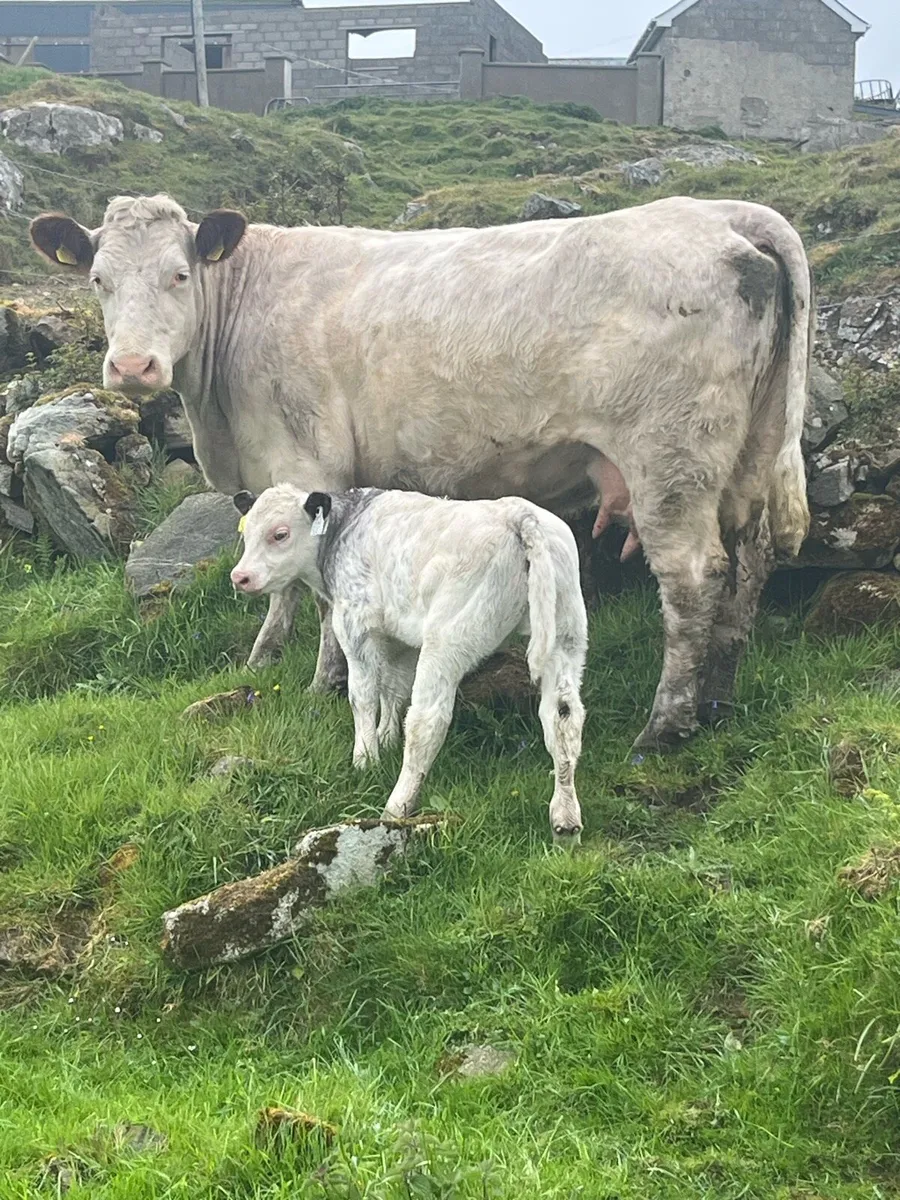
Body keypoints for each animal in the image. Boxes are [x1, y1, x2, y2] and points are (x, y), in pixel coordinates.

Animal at [30, 192, 812, 753]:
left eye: (180, 274)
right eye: (98, 280)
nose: (133, 367)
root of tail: (724, 212)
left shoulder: (309, 462)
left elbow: (318, 594)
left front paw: (324, 683)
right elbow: (281, 587)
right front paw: (265, 658)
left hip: (670, 460)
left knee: (694, 577)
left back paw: (666, 725)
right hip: (748, 454)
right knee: (749, 562)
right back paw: (717, 698)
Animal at [230, 484, 588, 840]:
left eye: (280, 534)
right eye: (246, 533)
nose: (240, 576)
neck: (345, 529)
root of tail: (518, 514)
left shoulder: (355, 625)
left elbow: (363, 695)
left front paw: (366, 758)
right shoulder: (401, 639)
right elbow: (393, 689)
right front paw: (386, 739)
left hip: (447, 640)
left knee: (427, 722)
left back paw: (395, 808)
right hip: (565, 635)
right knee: (564, 716)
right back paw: (565, 820)